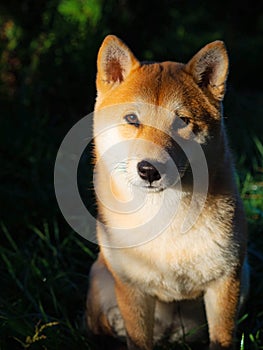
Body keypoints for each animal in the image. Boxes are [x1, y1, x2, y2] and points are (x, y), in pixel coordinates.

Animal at [86, 34, 250, 348]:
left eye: (181, 121)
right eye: (132, 118)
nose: (149, 170)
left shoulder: (226, 280)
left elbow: (222, 337)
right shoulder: (133, 289)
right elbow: (138, 339)